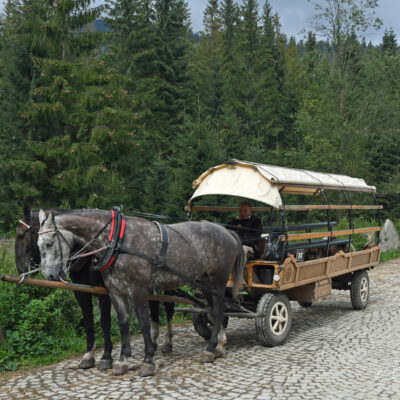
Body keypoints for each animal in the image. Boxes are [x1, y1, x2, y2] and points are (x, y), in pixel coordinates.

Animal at [37, 208, 245, 376]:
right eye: (38, 245)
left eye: (48, 243)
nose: (49, 275)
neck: (118, 242)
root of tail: (226, 231)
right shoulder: (115, 292)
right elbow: (123, 324)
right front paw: (122, 360)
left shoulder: (138, 291)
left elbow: (144, 323)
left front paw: (148, 361)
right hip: (204, 283)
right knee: (214, 310)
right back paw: (219, 344)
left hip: (217, 281)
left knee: (217, 310)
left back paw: (210, 349)